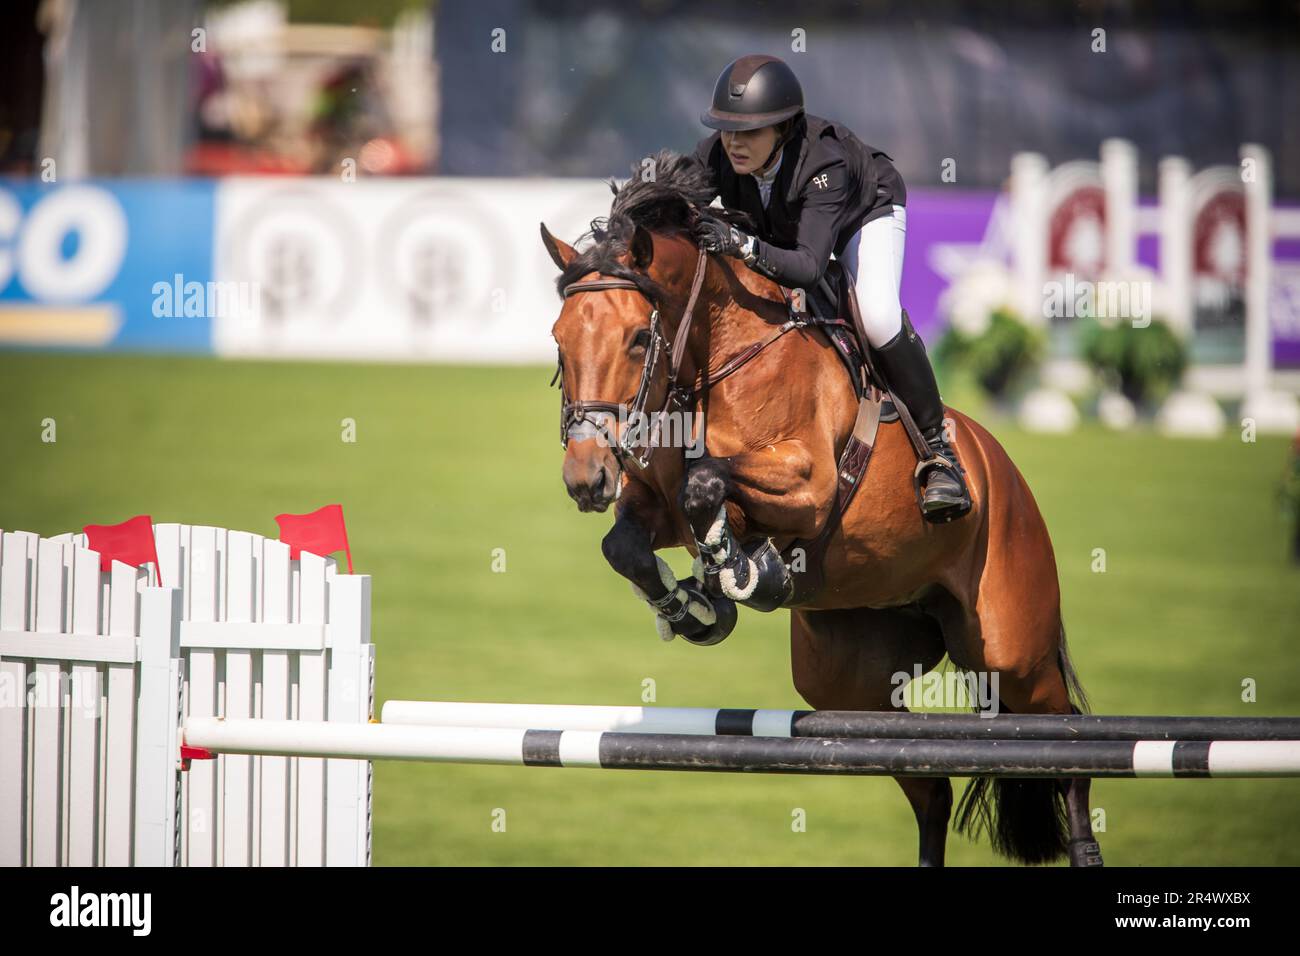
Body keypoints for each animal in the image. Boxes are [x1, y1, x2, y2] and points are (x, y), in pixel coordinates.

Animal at [543, 151, 1102, 868]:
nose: (586, 478)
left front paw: (745, 572)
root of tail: (1001, 470)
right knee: (929, 783)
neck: (715, 359)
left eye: (640, 337)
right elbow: (628, 543)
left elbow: (707, 483)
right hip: (849, 681)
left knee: (1066, 745)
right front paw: (695, 608)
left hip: (1011, 652)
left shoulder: (807, 488)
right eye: (559, 339)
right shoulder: (653, 503)